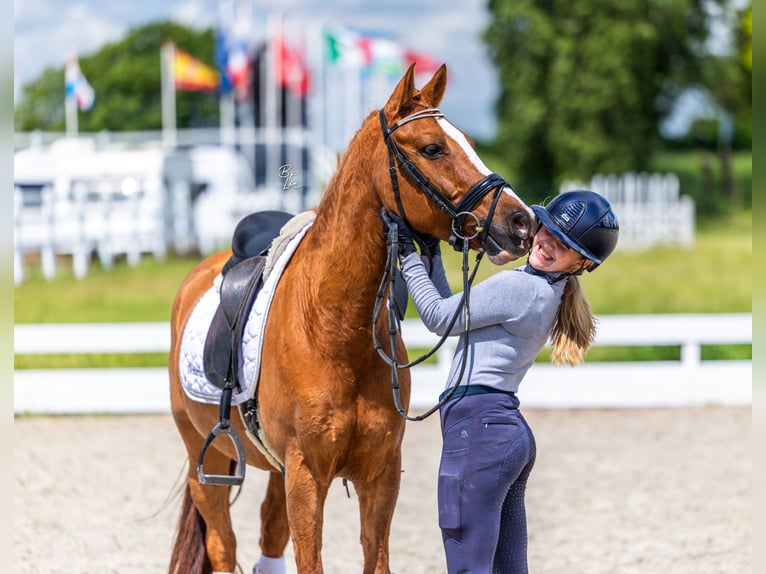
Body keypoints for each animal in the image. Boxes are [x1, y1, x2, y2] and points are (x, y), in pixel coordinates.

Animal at [167, 64, 535, 574]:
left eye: (470, 143)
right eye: (432, 148)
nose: (522, 222)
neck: (335, 330)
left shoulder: (379, 476)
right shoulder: (306, 476)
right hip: (206, 458)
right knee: (223, 545)